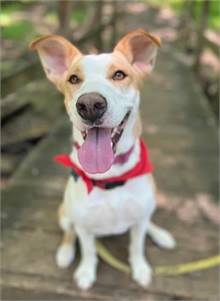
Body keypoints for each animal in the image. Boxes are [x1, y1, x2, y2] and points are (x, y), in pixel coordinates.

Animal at [30, 29, 175, 290]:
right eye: (73, 79)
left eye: (119, 74)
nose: (89, 105)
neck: (111, 177)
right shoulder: (84, 226)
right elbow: (89, 251)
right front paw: (86, 272)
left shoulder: (139, 221)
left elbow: (136, 246)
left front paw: (140, 269)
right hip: (64, 214)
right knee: (69, 233)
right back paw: (65, 253)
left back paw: (161, 235)